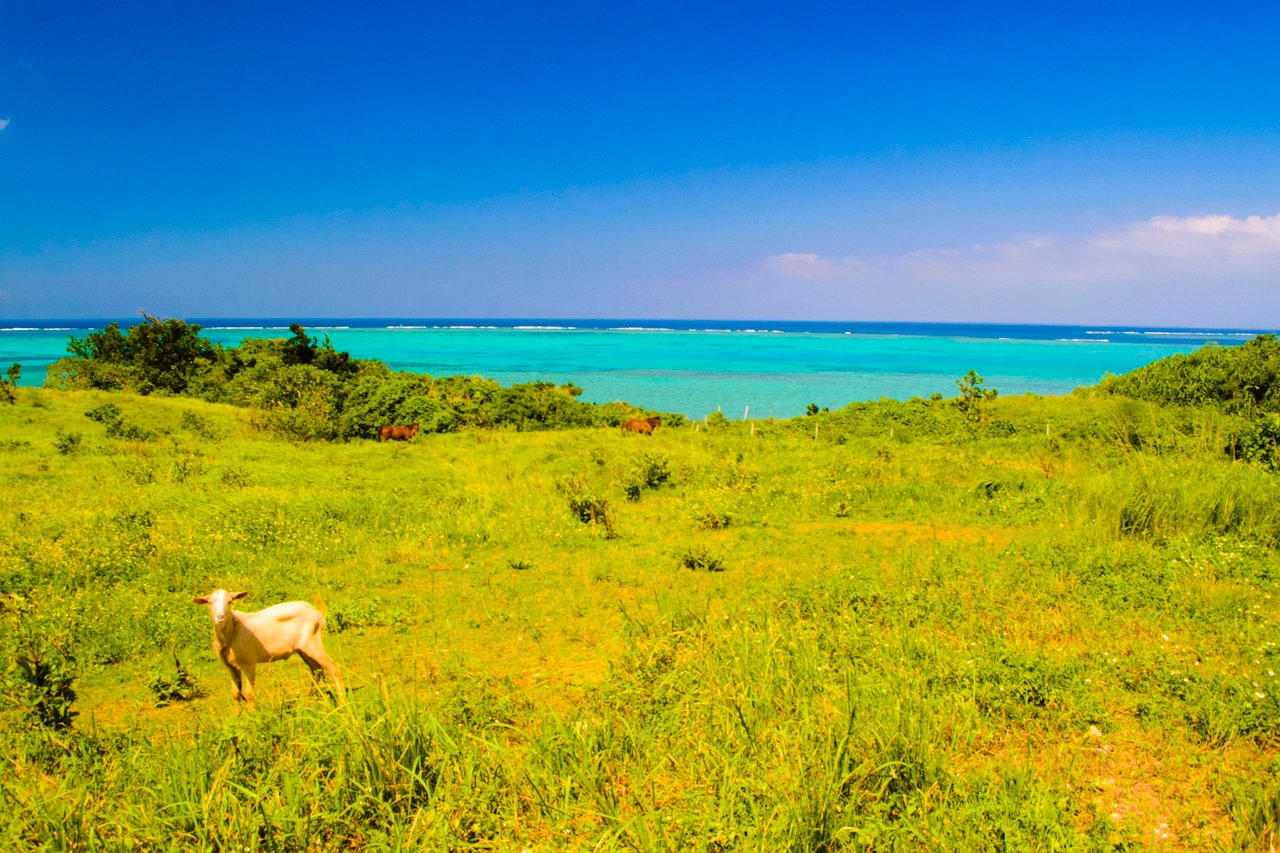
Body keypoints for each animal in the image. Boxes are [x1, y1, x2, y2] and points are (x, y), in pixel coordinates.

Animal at [190, 589, 345, 701]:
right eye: (210, 602)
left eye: (229, 601)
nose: (220, 617)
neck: (231, 632)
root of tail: (318, 614)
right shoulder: (231, 666)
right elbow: (235, 694)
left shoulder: (249, 663)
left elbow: (249, 694)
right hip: (303, 649)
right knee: (316, 669)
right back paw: (309, 699)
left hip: (313, 643)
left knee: (333, 667)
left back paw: (342, 701)